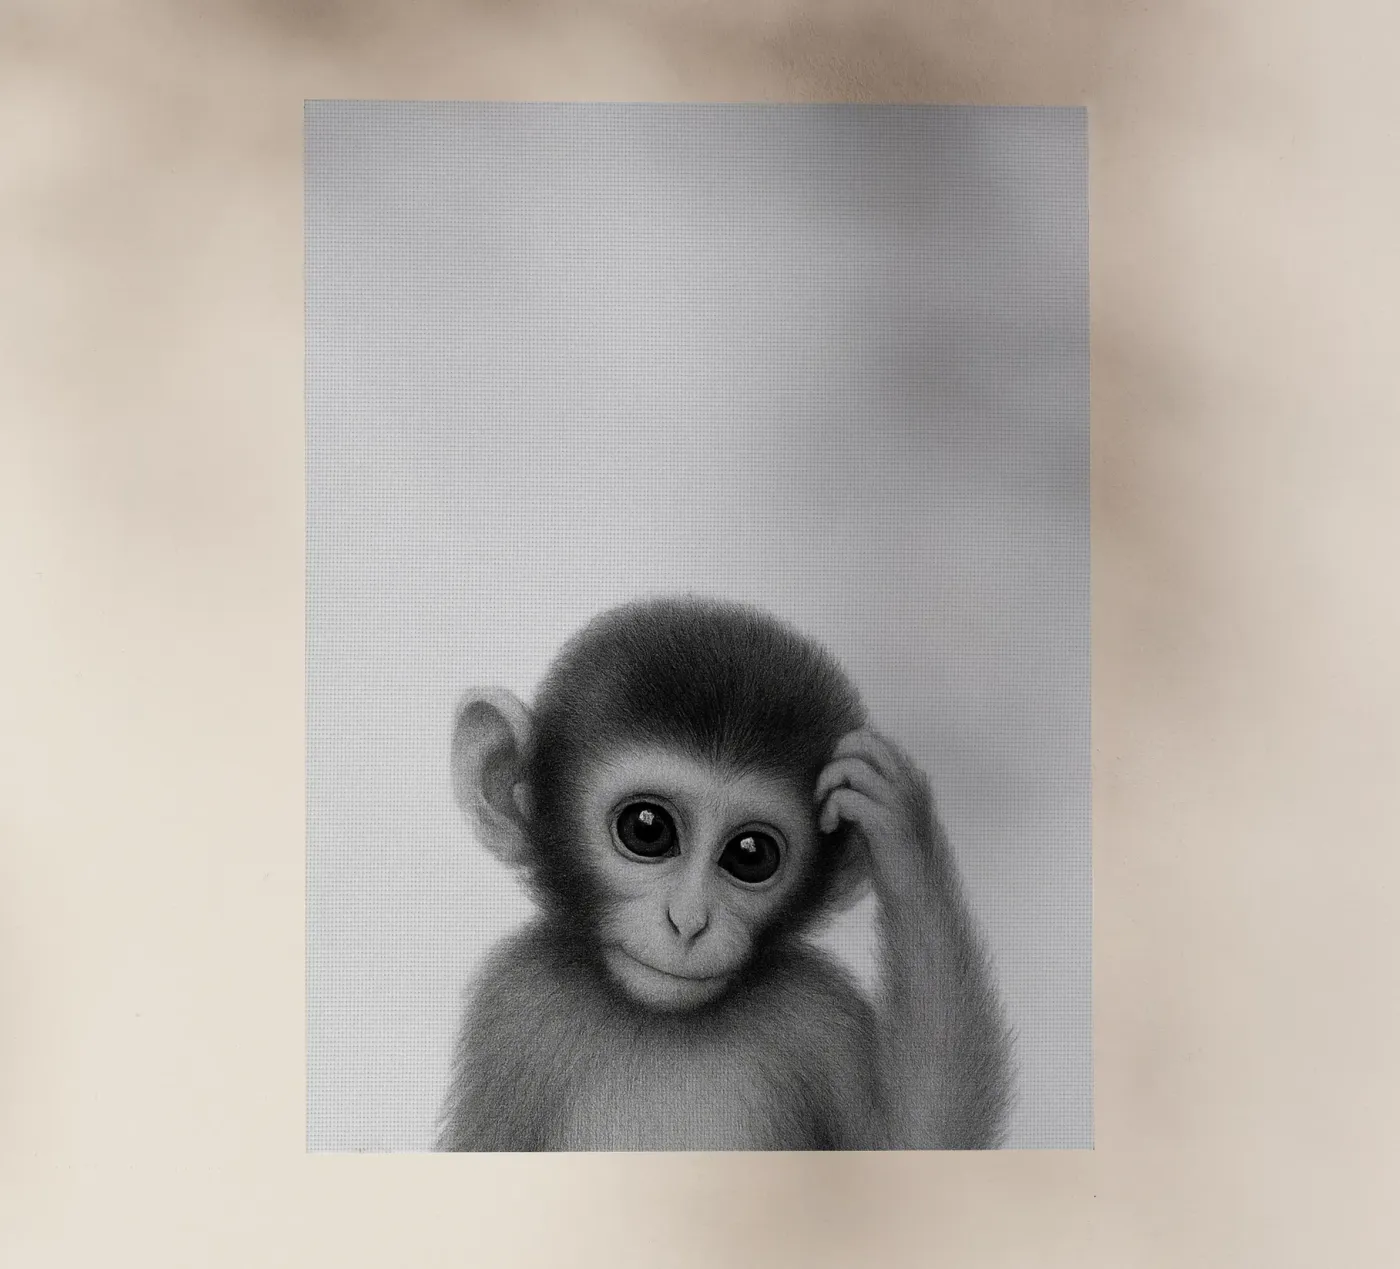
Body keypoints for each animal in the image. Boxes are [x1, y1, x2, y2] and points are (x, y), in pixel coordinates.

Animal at [437, 596, 1012, 1151]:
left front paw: (899, 825)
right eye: (646, 828)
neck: (662, 1022)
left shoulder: (820, 1008)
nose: (689, 921)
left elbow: (917, 1138)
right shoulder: (515, 1005)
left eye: (750, 855)